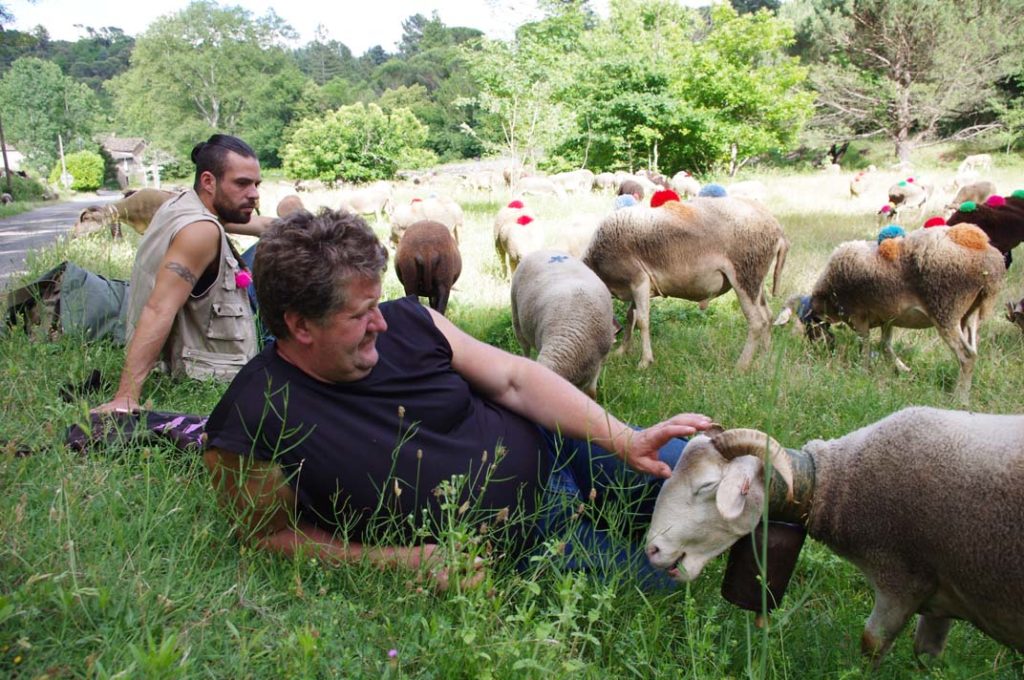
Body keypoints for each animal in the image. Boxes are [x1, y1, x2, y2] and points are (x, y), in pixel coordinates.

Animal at [582, 197, 788, 370]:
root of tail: (777, 229)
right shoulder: (637, 285)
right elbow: (630, 316)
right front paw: (622, 352)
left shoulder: (639, 278)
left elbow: (642, 320)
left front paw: (644, 362)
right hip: (756, 279)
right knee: (768, 316)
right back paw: (764, 359)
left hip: (744, 274)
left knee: (757, 322)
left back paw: (741, 366)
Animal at [645, 407, 1024, 665]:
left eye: (707, 486)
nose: (652, 549)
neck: (834, 482)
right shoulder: (942, 595)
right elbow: (927, 656)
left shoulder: (902, 581)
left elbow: (871, 644)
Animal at [774, 224, 1006, 402]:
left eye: (808, 324)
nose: (819, 346)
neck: (829, 298)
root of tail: (991, 264)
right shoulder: (888, 318)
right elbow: (885, 346)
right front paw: (904, 370)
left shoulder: (859, 316)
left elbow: (865, 345)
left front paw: (862, 372)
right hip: (971, 314)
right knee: (974, 350)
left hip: (945, 308)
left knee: (966, 355)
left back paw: (959, 398)